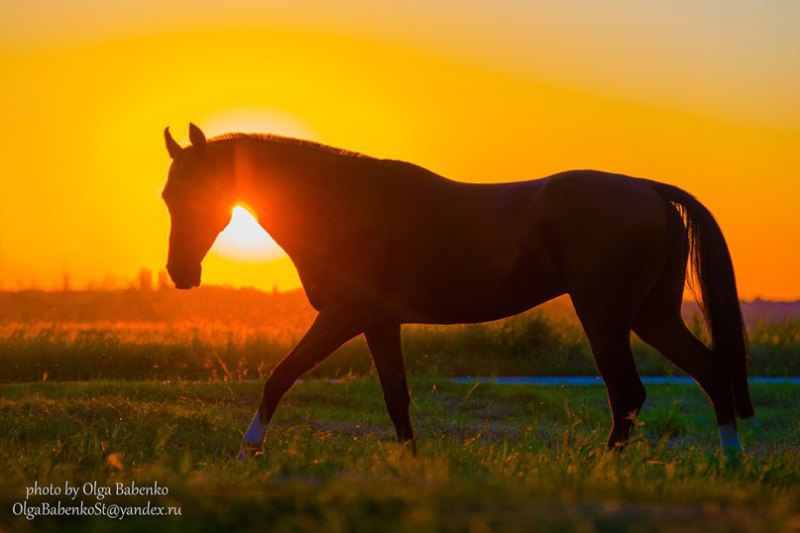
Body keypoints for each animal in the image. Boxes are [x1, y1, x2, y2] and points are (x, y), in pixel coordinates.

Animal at [159, 123, 752, 458]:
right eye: (168, 194)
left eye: (195, 190)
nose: (180, 272)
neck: (346, 204)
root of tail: (648, 189)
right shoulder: (377, 323)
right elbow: (396, 399)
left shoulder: (345, 316)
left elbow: (280, 376)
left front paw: (247, 453)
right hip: (651, 316)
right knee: (709, 371)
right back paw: (730, 461)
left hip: (604, 316)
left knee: (628, 393)